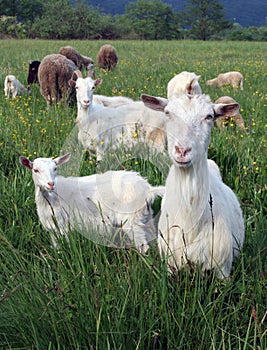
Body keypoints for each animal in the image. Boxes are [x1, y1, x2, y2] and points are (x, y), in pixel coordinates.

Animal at [19, 153, 165, 252]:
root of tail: (149, 189)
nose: (50, 184)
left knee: (143, 246)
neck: (51, 199)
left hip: (131, 220)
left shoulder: (64, 226)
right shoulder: (52, 229)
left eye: (55, 168)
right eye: (35, 170)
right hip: (145, 217)